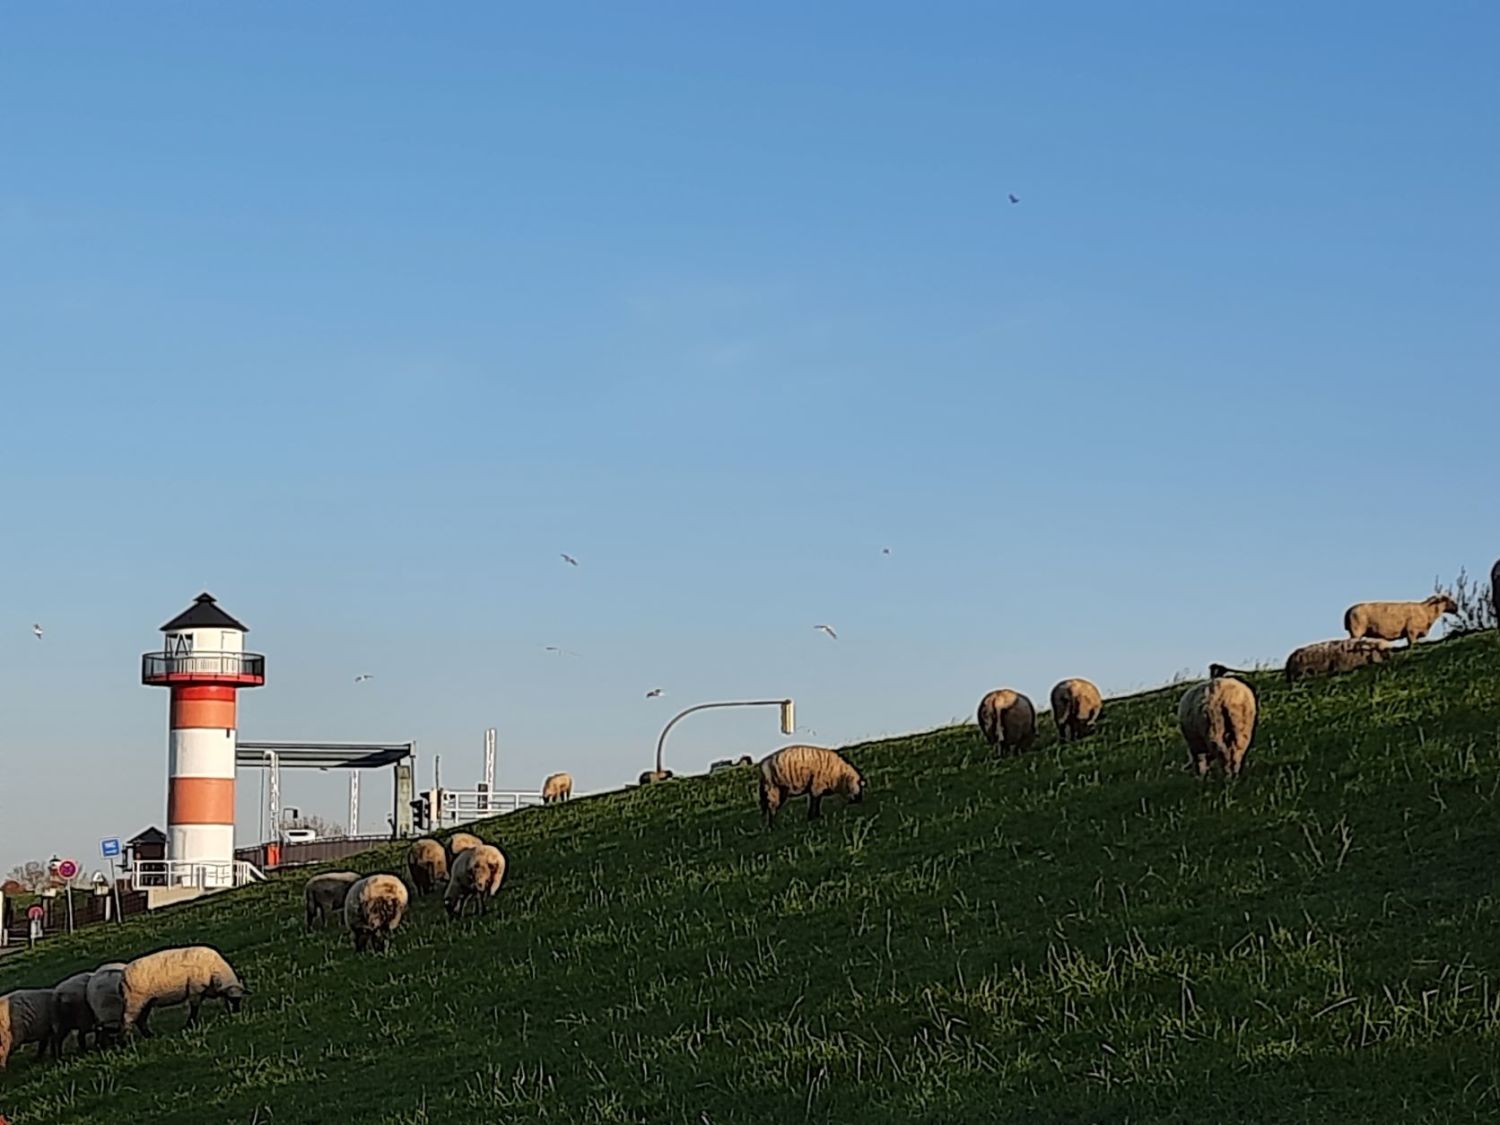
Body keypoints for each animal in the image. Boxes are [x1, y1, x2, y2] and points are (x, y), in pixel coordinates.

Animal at [120, 946, 249, 1038]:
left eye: (239, 999)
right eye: (232, 999)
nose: (237, 1013)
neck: (214, 968)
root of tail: (124, 973)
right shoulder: (195, 990)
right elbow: (194, 1009)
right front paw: (189, 1025)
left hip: (146, 1002)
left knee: (140, 1020)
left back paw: (149, 1036)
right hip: (134, 1000)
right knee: (127, 1020)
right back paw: (128, 1041)